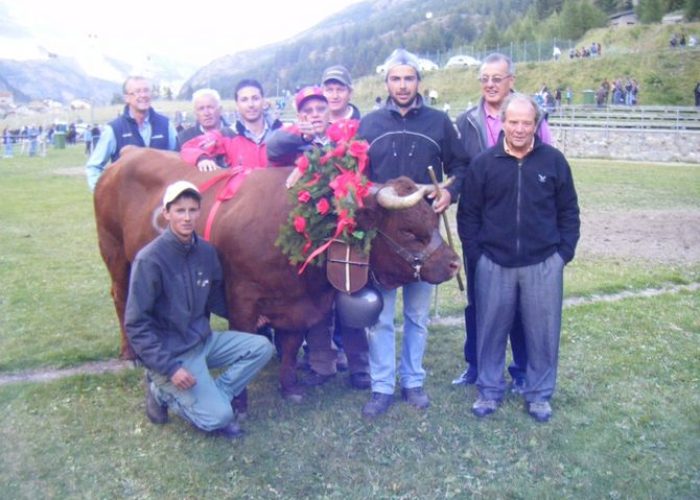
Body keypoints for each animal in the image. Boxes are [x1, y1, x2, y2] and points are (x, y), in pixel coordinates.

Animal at [95, 147, 462, 402]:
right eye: (408, 230)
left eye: (433, 219)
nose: (454, 263)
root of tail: (129, 153)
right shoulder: (242, 301)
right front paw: (239, 405)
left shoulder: (297, 305)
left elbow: (289, 347)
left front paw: (289, 387)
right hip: (113, 251)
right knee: (120, 295)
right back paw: (130, 354)